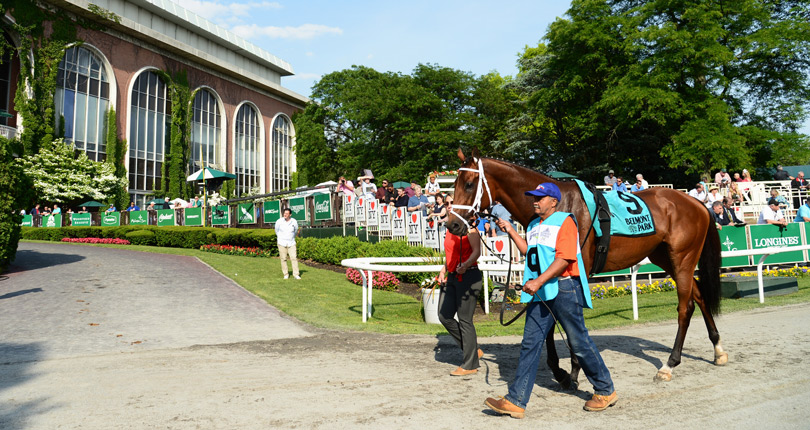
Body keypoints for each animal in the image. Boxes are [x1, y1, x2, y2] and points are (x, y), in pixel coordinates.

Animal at [446, 149, 728, 382]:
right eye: (453, 185)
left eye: (469, 184)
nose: (453, 225)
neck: (558, 205)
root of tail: (696, 202)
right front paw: (559, 368)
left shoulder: (571, 271)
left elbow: (568, 318)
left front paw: (572, 369)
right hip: (665, 258)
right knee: (699, 295)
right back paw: (718, 349)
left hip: (683, 258)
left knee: (685, 307)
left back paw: (669, 364)